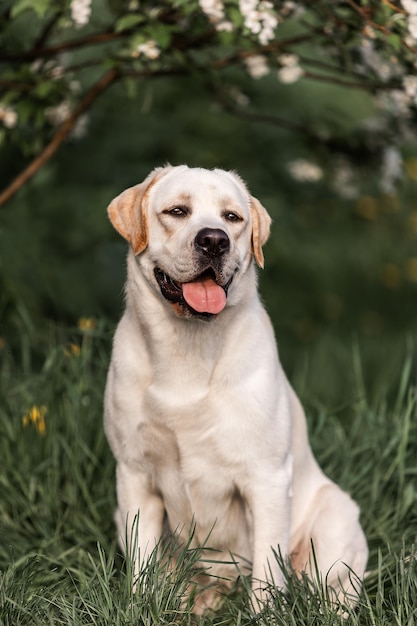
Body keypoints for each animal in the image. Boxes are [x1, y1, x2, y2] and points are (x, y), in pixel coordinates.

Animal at [104, 165, 368, 608]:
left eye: (232, 217)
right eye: (177, 211)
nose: (214, 240)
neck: (188, 349)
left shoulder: (267, 478)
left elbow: (267, 571)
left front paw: (265, 612)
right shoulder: (135, 474)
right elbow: (142, 565)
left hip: (336, 520)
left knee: (330, 591)